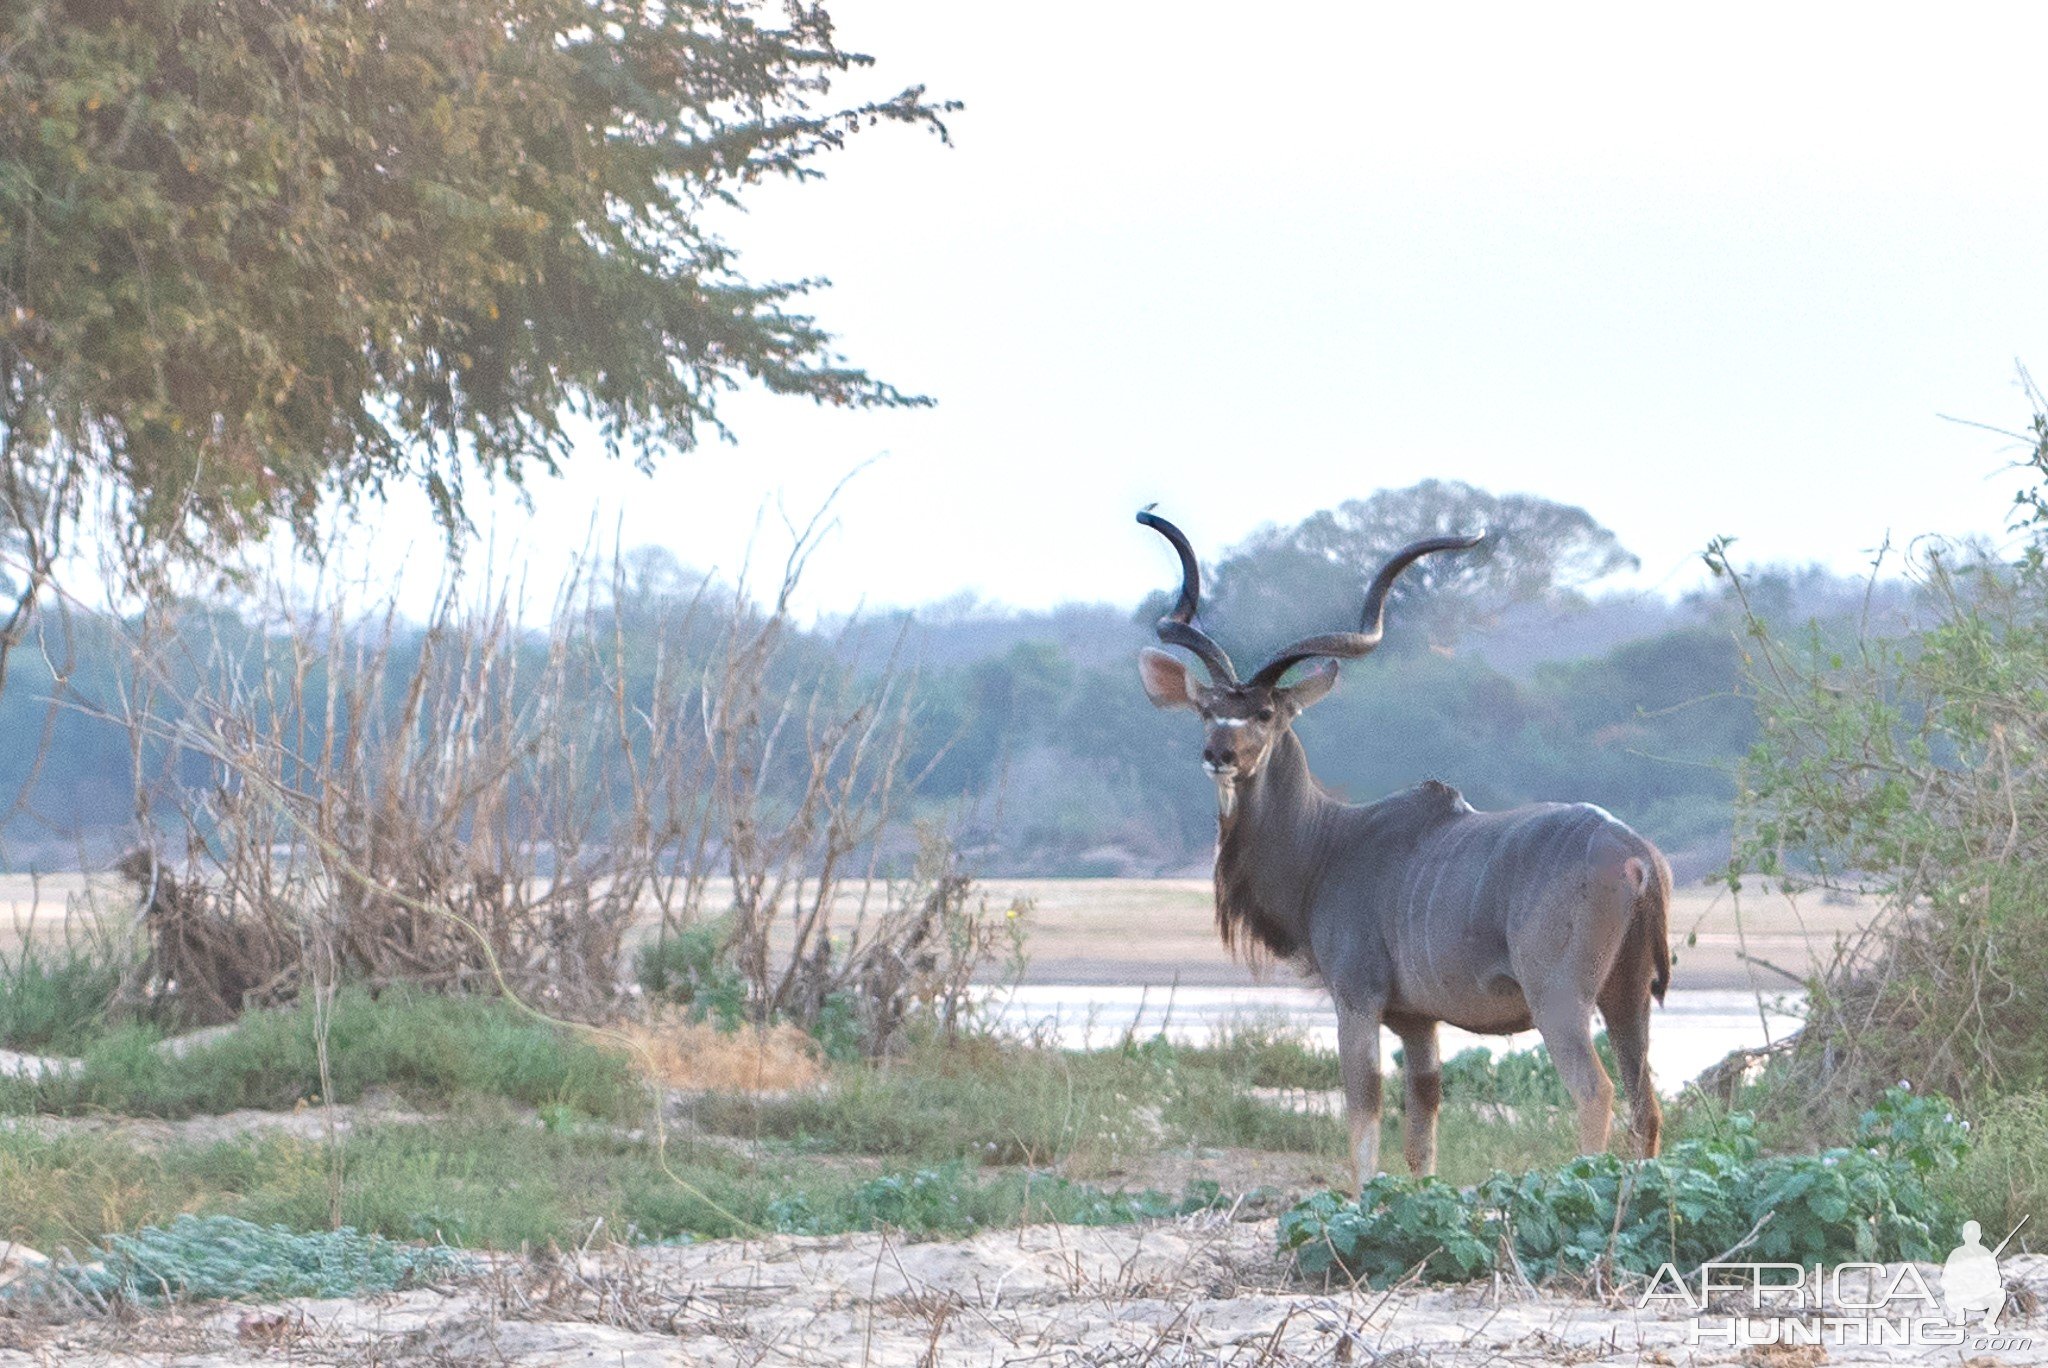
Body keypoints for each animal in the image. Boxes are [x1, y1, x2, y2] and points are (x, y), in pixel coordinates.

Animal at [1130, 511, 1671, 1187]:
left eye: (1265, 713)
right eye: (1205, 709)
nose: (1218, 754)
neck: (1329, 845)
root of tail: (1635, 856)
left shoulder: (1357, 1000)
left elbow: (1363, 1120)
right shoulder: (1419, 1022)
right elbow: (1423, 1134)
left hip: (1562, 1001)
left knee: (1595, 1093)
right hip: (1628, 999)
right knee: (1646, 1105)